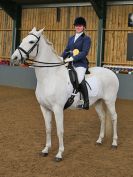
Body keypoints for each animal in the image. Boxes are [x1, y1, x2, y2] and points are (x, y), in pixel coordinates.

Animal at [11, 27, 119, 162]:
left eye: (31, 42)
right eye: (23, 40)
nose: (14, 57)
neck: (49, 77)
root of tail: (112, 73)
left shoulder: (58, 109)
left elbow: (60, 131)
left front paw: (59, 154)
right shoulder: (44, 108)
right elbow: (48, 129)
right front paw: (46, 150)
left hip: (110, 101)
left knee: (114, 117)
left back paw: (114, 143)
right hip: (98, 102)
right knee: (103, 118)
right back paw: (99, 140)